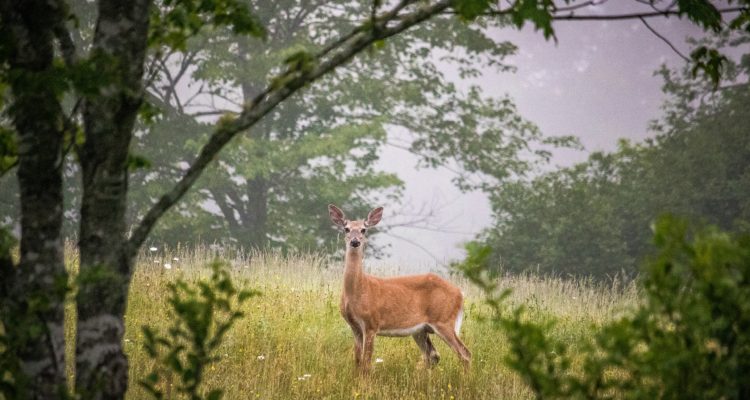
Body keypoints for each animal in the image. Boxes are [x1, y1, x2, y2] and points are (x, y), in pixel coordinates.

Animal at [328, 205, 470, 374]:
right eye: (346, 229)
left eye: (363, 229)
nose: (355, 241)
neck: (359, 290)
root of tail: (460, 293)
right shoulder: (354, 326)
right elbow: (357, 361)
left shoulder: (371, 323)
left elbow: (366, 363)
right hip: (421, 330)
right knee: (433, 355)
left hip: (444, 320)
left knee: (464, 353)